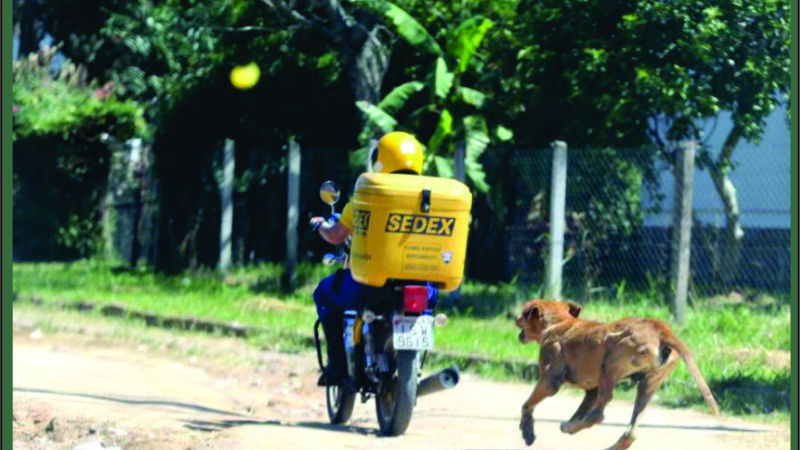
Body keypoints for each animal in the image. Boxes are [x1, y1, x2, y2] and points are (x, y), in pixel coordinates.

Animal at [516, 298, 720, 450]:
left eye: (524, 312)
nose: (514, 317)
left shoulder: (549, 381)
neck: (560, 323)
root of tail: (660, 327)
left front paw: (527, 429)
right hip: (646, 387)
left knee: (598, 415)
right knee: (630, 432)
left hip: (610, 366)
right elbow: (579, 411)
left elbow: (526, 405)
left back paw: (570, 427)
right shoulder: (591, 392)